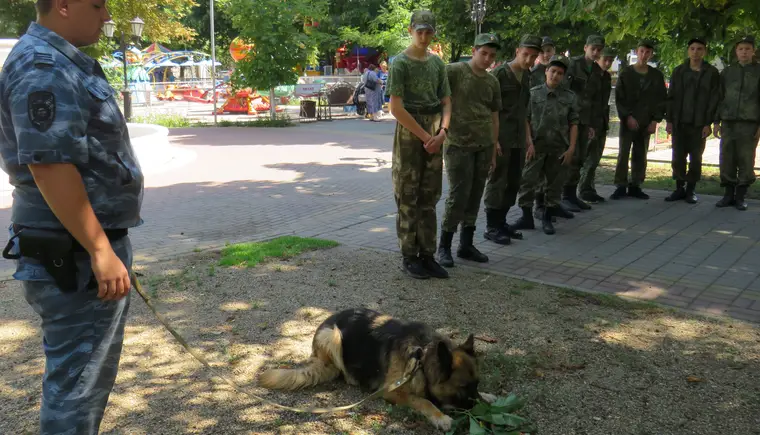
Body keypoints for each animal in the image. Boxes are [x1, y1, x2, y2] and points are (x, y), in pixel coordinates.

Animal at [258, 308, 496, 430]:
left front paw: (488, 395)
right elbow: (423, 401)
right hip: (333, 336)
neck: (423, 356)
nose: (480, 410)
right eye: (463, 387)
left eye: (477, 384)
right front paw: (441, 417)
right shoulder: (393, 391)